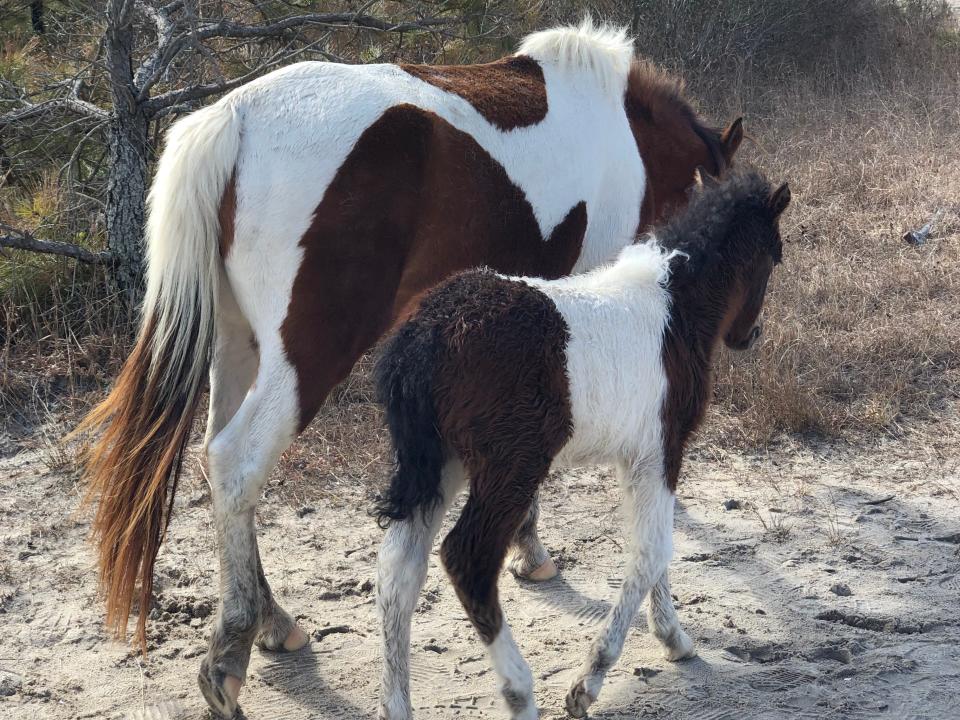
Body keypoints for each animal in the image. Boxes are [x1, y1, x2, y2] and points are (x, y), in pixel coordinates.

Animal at [80, 19, 744, 716]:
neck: (622, 127)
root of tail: (235, 117)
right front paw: (555, 562)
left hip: (237, 345)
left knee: (217, 460)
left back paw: (272, 621)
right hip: (306, 355)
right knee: (238, 461)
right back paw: (230, 651)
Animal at [372, 170, 792, 720]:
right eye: (775, 255)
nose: (749, 334)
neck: (673, 307)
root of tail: (425, 334)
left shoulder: (635, 455)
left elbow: (651, 544)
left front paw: (672, 636)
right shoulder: (664, 446)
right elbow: (653, 549)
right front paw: (589, 681)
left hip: (440, 463)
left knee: (399, 568)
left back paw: (396, 703)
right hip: (512, 465)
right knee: (467, 557)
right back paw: (520, 691)